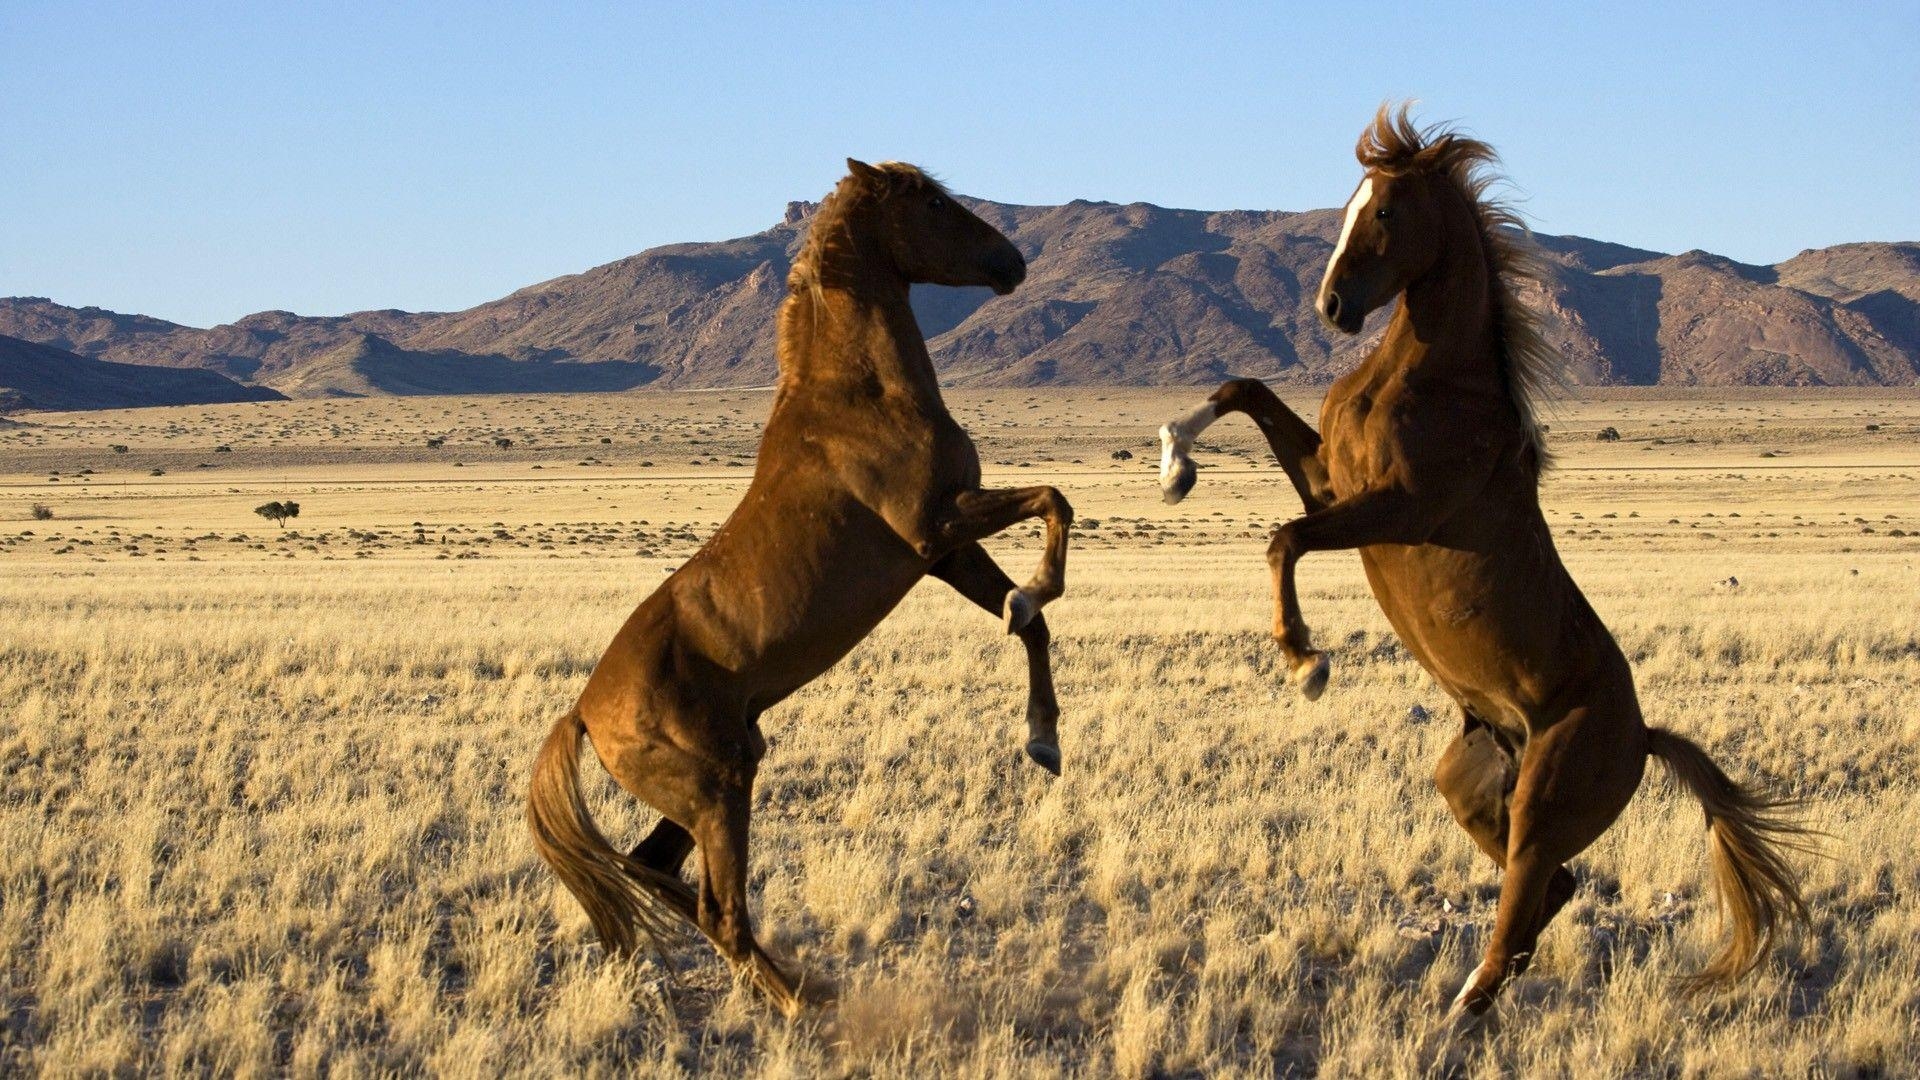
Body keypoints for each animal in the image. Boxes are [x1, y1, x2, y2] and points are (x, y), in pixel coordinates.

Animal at [529, 159, 1067, 1006]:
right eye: (933, 202)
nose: (1010, 262)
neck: (861, 395)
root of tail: (583, 713)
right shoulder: (936, 526)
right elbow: (1053, 501)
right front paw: (1041, 593)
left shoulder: (942, 554)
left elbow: (1031, 620)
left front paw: (1043, 738)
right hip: (718, 785)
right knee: (719, 912)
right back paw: (805, 1005)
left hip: (722, 774)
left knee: (661, 873)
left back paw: (796, 985)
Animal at [1152, 107, 1812, 1022]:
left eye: (1385, 211)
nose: (1332, 307)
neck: (1426, 379)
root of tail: (1643, 736)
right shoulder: (1333, 481)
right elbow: (1244, 390)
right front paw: (1174, 462)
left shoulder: (1396, 508)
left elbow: (1284, 538)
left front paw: (1306, 662)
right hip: (1467, 783)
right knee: (1554, 889)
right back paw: (1474, 999)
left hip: (1543, 799)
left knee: (1531, 898)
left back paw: (1460, 1011)